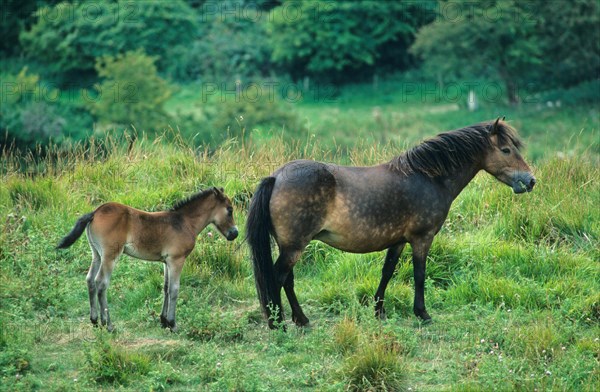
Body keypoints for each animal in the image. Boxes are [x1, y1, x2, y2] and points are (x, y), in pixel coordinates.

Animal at [56, 187, 239, 330]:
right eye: (229, 209)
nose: (234, 233)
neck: (184, 222)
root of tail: (95, 212)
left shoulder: (166, 262)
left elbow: (165, 288)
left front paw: (163, 321)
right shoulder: (176, 260)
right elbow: (174, 289)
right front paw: (172, 323)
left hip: (96, 254)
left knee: (89, 280)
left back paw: (94, 321)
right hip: (110, 255)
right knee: (101, 282)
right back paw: (108, 324)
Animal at [246, 118, 536, 330]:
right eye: (506, 150)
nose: (530, 180)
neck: (428, 177)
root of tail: (276, 176)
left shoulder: (397, 241)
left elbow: (387, 271)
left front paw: (379, 310)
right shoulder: (422, 238)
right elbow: (419, 274)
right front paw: (422, 313)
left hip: (290, 246)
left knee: (287, 280)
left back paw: (301, 319)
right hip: (294, 247)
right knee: (277, 278)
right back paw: (279, 324)